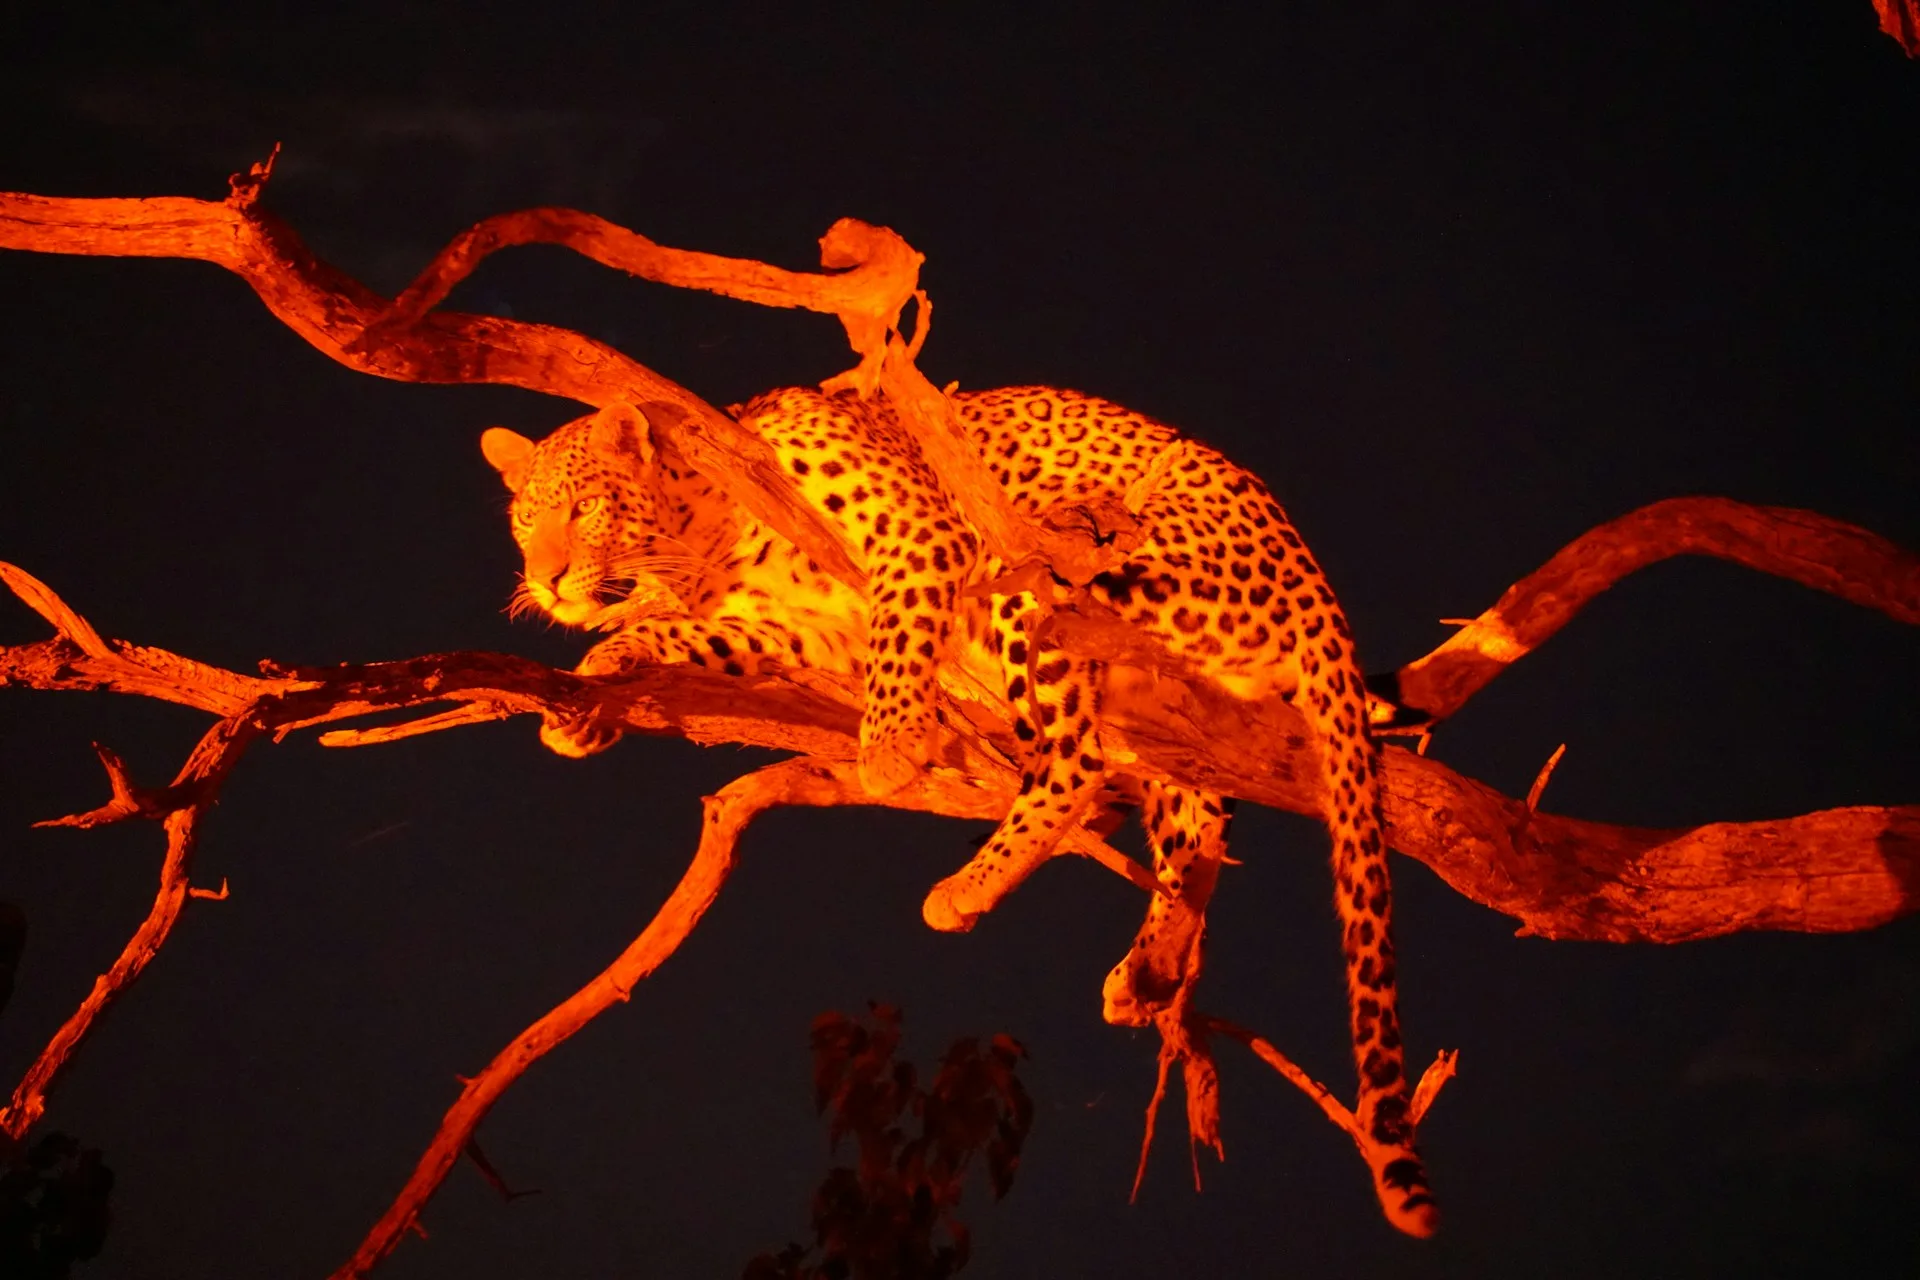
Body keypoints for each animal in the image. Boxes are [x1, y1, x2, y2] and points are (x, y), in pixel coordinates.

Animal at [479, 385, 1439, 1237]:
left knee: (1076, 759)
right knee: (1195, 821)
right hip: (1169, 713)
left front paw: (895, 741)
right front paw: (593, 691)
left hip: (1045, 576)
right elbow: (667, 633)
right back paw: (1149, 966)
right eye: (525, 522)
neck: (699, 532)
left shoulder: (922, 536)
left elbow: (900, 631)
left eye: (587, 508)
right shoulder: (784, 627)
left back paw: (970, 886)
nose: (546, 581)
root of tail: (1314, 580)